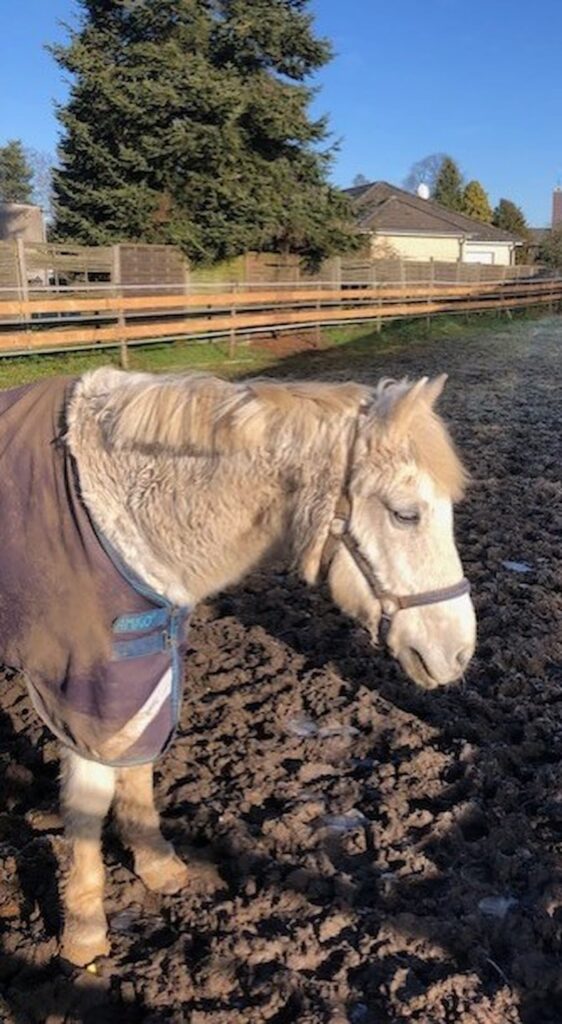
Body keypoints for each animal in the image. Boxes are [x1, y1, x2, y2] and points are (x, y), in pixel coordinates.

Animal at [0, 366, 476, 965]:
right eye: (405, 514)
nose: (459, 653)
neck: (118, 513)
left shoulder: (146, 666)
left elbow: (137, 768)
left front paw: (155, 862)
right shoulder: (84, 687)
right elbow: (88, 802)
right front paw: (84, 927)